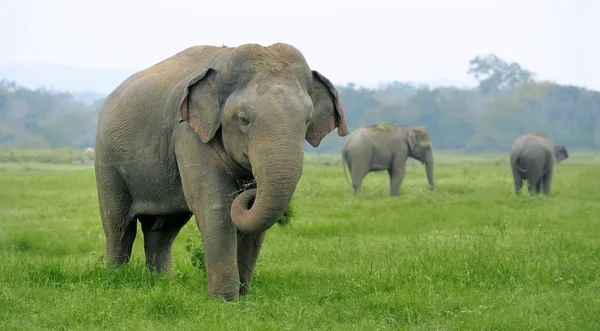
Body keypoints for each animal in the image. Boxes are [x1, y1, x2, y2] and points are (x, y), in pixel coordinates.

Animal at [92, 42, 350, 302]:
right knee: (119, 225)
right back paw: (115, 277)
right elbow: (215, 209)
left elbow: (250, 224)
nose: (250, 190)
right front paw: (223, 302)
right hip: (106, 158)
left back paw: (161, 282)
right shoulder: (188, 134)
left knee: (162, 230)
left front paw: (243, 299)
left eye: (307, 120)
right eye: (243, 120)